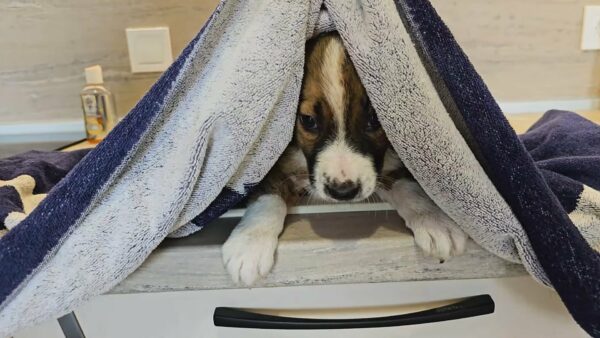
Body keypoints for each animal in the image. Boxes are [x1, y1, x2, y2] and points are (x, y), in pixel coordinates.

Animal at [221, 32, 468, 286]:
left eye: (375, 119)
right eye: (308, 120)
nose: (342, 192)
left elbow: (406, 185)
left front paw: (433, 218)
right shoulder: (272, 164)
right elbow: (269, 196)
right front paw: (250, 243)